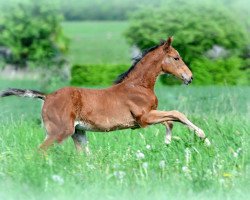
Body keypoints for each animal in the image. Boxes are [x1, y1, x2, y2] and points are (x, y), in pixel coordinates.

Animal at [0, 36, 210, 152]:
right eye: (176, 58)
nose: (190, 77)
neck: (138, 86)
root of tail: (47, 96)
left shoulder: (149, 117)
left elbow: (170, 121)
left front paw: (167, 142)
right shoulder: (144, 118)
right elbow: (176, 114)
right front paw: (203, 137)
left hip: (78, 133)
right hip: (60, 131)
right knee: (40, 151)